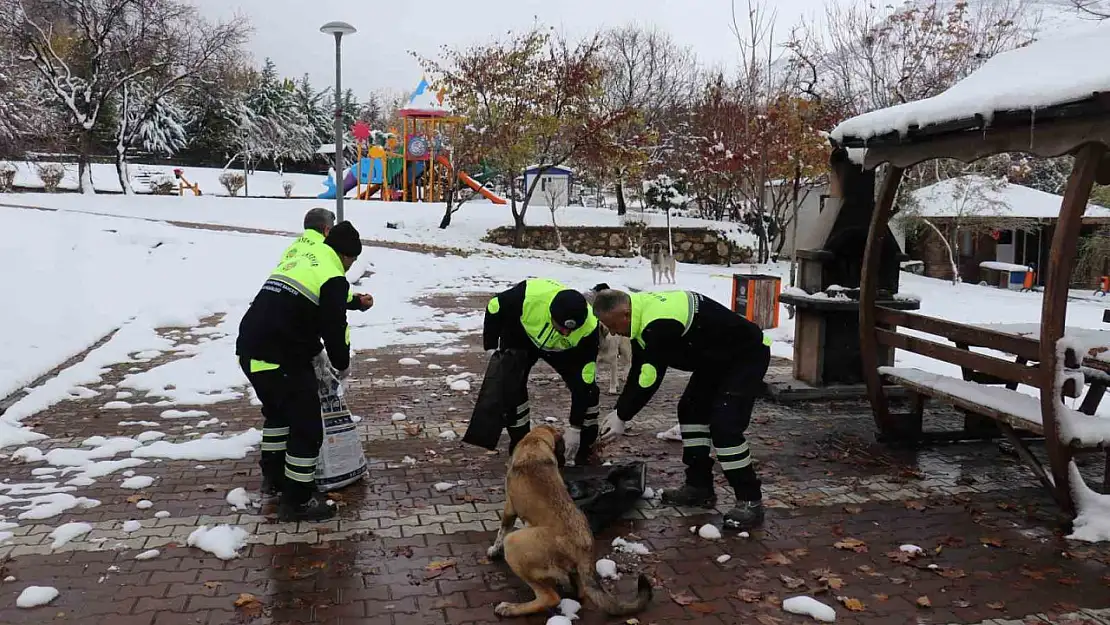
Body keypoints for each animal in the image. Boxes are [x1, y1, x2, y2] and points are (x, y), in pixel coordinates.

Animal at [486, 426, 648, 621]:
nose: (564, 462)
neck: (535, 442)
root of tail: (584, 550)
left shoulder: (509, 507)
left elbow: (502, 531)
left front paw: (494, 550)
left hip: (514, 543)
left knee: (549, 597)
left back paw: (510, 608)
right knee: (581, 592)